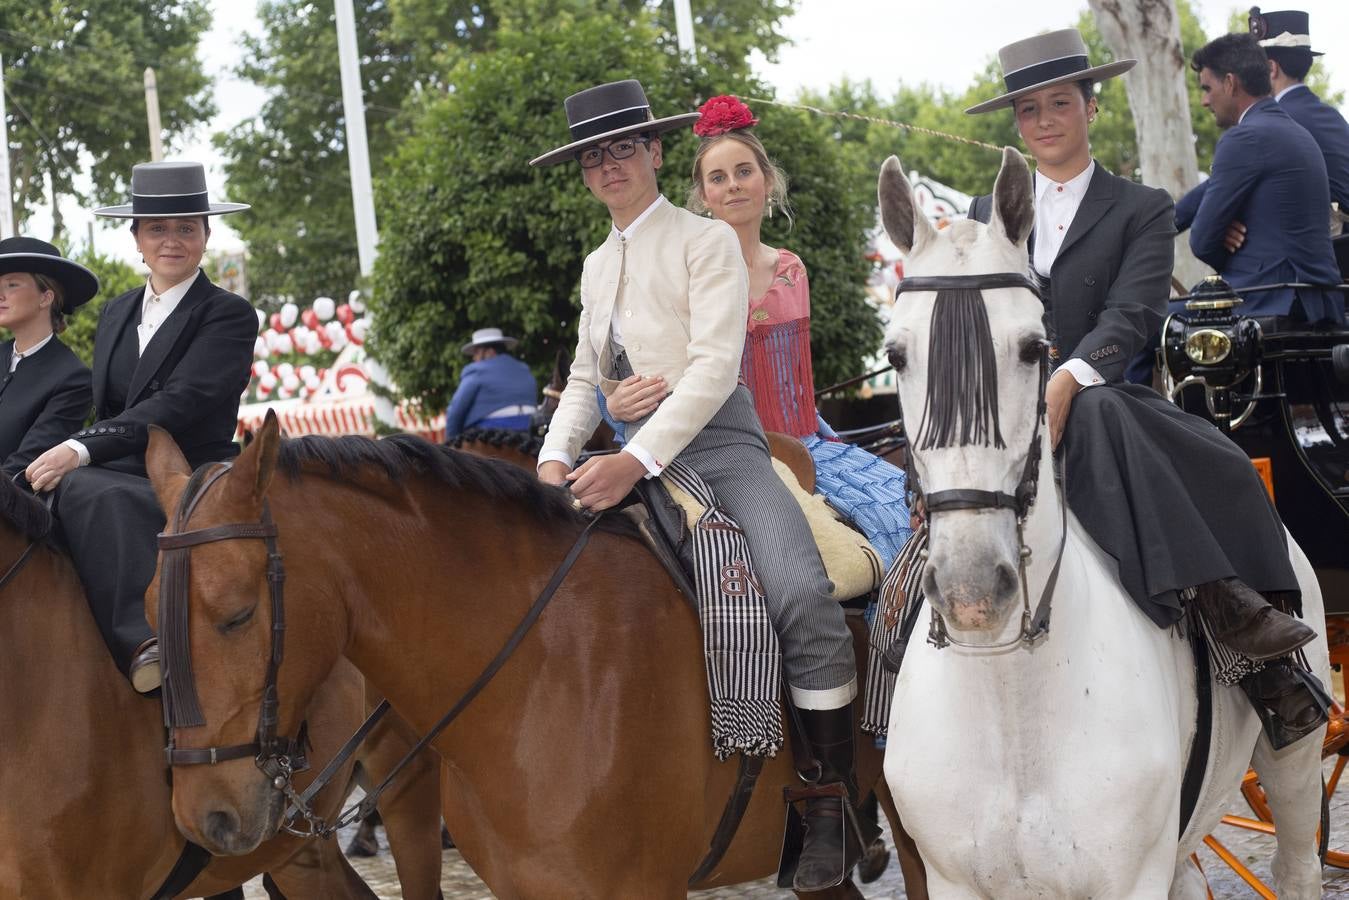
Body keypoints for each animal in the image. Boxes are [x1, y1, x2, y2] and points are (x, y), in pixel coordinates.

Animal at [874, 149, 1327, 900]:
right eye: (897, 355)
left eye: (1034, 348)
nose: (972, 589)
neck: (1010, 695)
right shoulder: (952, 879)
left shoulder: (1129, 877)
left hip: (1293, 757)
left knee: (1296, 865)